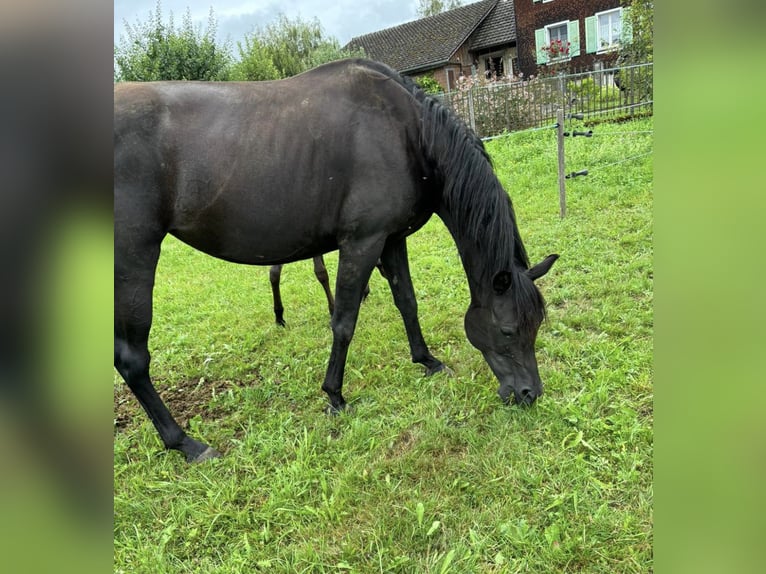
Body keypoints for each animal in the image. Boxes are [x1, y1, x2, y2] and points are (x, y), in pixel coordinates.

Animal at [114, 59, 560, 464]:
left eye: (536, 325)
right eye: (507, 331)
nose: (529, 394)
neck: (407, 133)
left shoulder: (391, 239)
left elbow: (407, 302)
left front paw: (427, 360)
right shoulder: (363, 243)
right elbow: (344, 322)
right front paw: (335, 395)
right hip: (134, 261)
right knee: (133, 360)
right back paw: (185, 443)